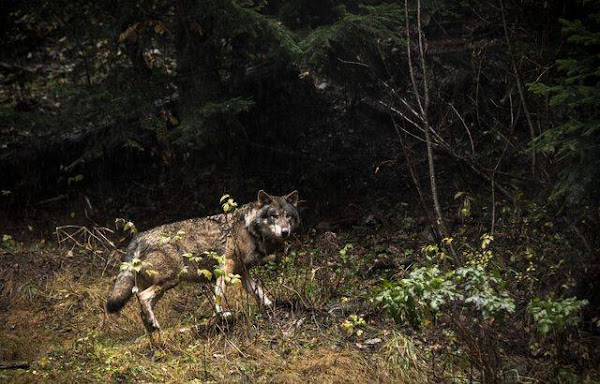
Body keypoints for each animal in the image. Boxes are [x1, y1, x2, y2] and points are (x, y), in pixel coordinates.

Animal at [106, 190, 298, 332]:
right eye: (274, 216)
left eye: (287, 216)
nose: (285, 232)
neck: (249, 229)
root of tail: (138, 237)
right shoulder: (226, 266)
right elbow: (219, 295)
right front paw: (223, 315)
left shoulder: (242, 273)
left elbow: (260, 293)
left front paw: (272, 307)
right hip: (171, 280)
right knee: (142, 297)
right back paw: (154, 326)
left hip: (162, 287)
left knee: (142, 305)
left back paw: (153, 330)